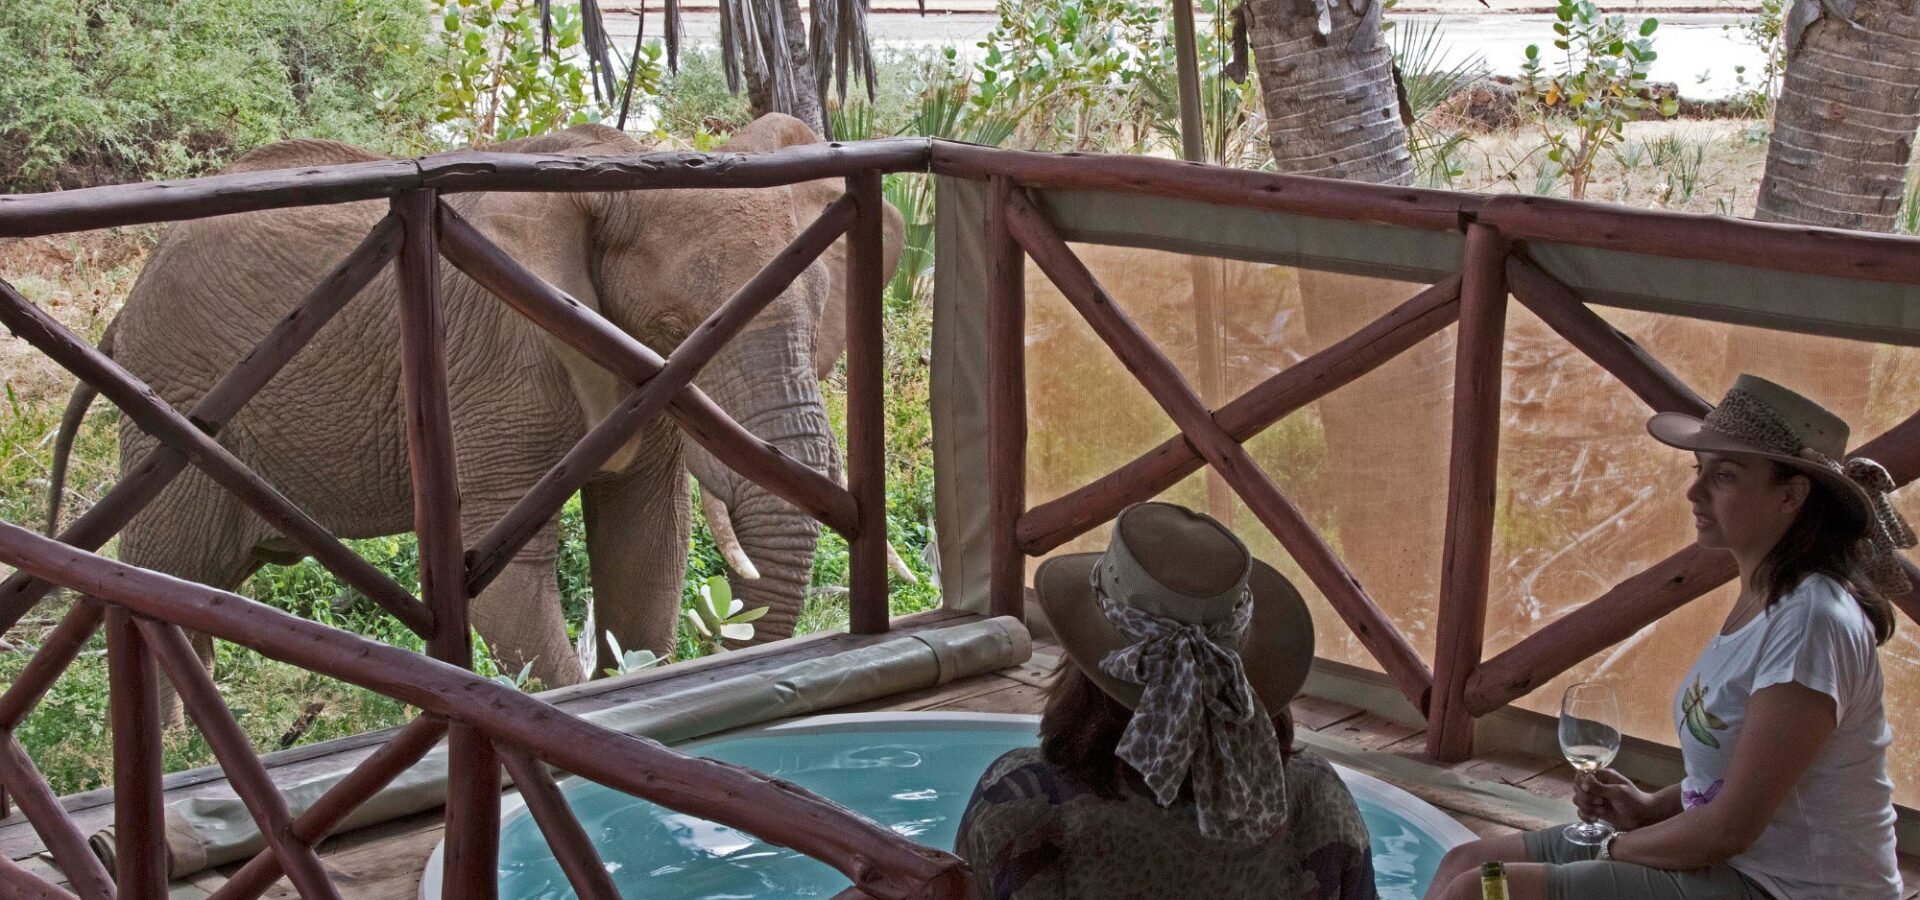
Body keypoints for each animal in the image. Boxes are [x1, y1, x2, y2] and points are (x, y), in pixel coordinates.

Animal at [46, 114, 905, 704]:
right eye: (674, 329)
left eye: (819, 318)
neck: (614, 168)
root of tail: (123, 310)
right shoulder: (490, 368)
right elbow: (507, 589)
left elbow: (645, 552)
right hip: (177, 402)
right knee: (169, 582)